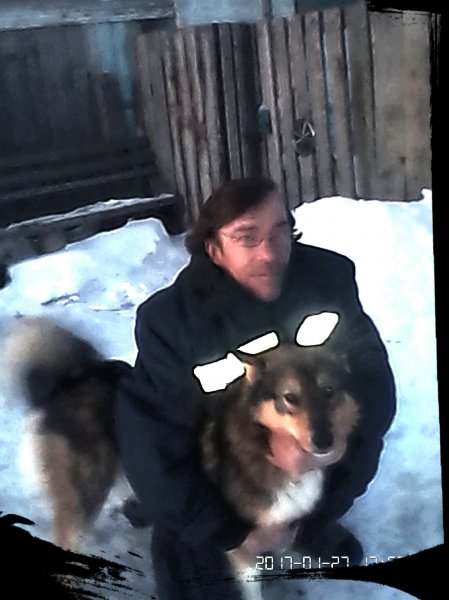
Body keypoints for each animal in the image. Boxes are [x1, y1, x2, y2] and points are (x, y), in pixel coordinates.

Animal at [5, 316, 360, 595]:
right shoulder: (244, 548)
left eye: (329, 392)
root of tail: (71, 380)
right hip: (85, 496)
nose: (325, 441)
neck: (262, 443)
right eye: (290, 398)